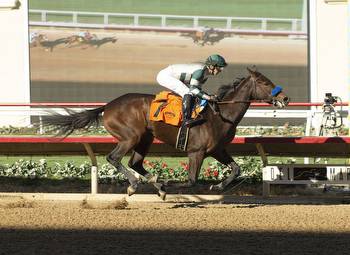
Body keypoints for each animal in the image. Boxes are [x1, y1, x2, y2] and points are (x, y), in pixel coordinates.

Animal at [43, 68, 290, 199]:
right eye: (264, 82)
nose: (285, 97)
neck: (220, 114)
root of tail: (108, 105)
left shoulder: (217, 150)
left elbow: (236, 169)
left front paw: (217, 187)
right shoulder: (196, 152)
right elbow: (191, 181)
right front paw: (168, 183)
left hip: (146, 138)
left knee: (135, 162)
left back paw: (152, 182)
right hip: (130, 136)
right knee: (114, 158)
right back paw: (136, 184)